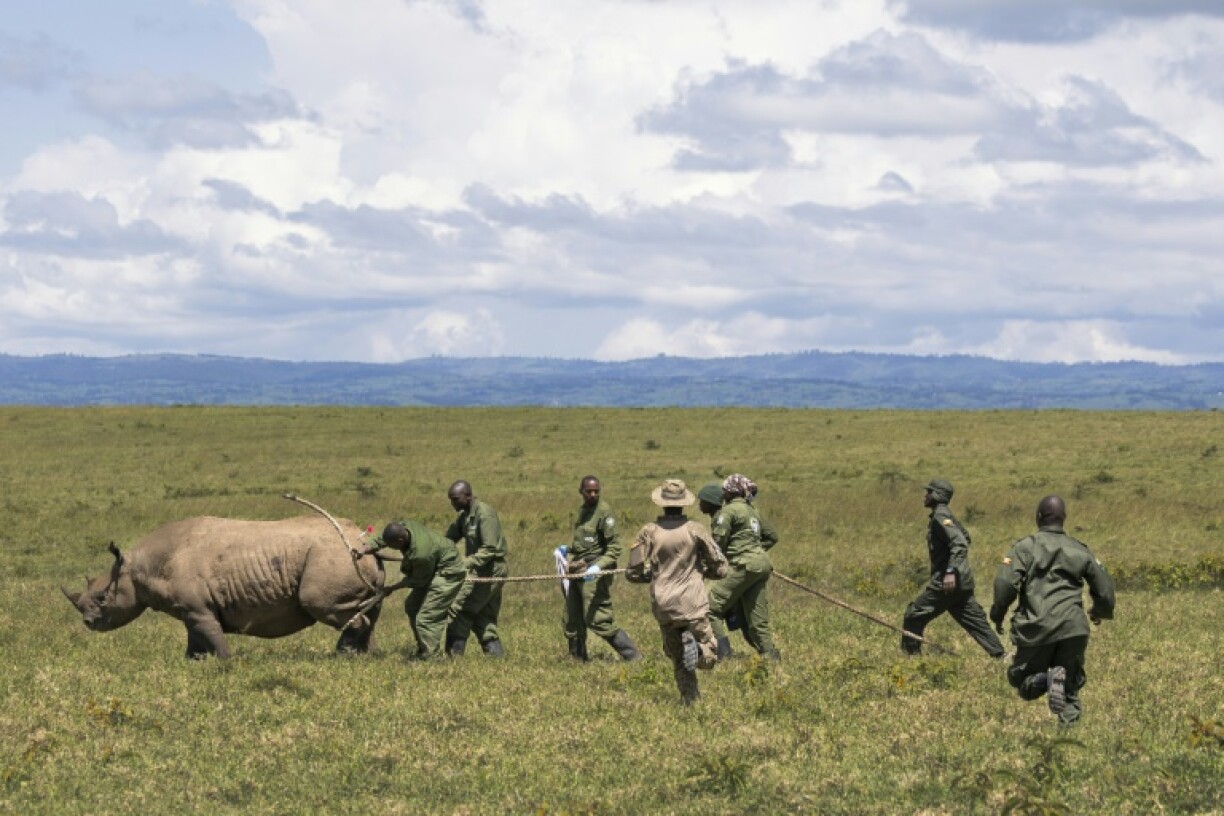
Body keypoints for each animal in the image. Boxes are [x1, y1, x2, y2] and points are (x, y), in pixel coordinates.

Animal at [62, 515, 386, 659]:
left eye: (102, 597)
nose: (88, 622)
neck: (140, 567)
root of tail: (363, 542)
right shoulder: (190, 609)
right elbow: (195, 638)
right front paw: (193, 662)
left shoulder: (198, 608)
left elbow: (212, 635)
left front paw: (226, 662)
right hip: (352, 562)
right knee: (367, 611)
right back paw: (363, 655)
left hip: (333, 559)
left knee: (325, 606)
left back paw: (341, 656)